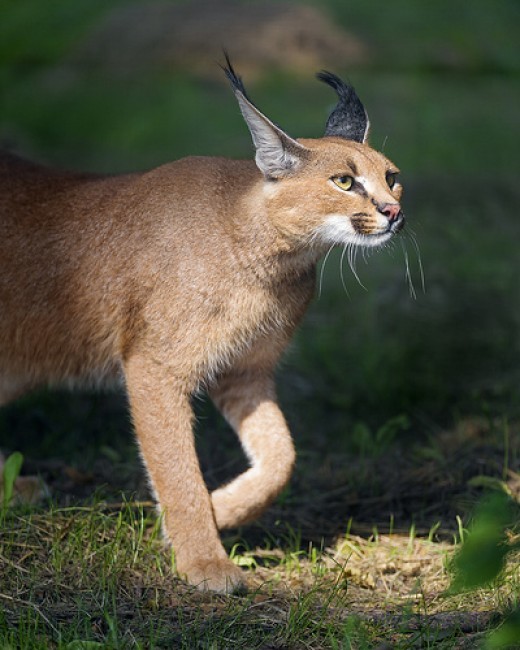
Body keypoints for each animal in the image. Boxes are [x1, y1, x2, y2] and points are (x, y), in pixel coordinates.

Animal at [0, 60, 404, 592]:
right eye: (343, 181)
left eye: (392, 178)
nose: (394, 212)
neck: (275, 259)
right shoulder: (155, 366)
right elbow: (177, 468)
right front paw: (203, 560)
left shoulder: (244, 368)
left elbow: (283, 457)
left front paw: (222, 509)